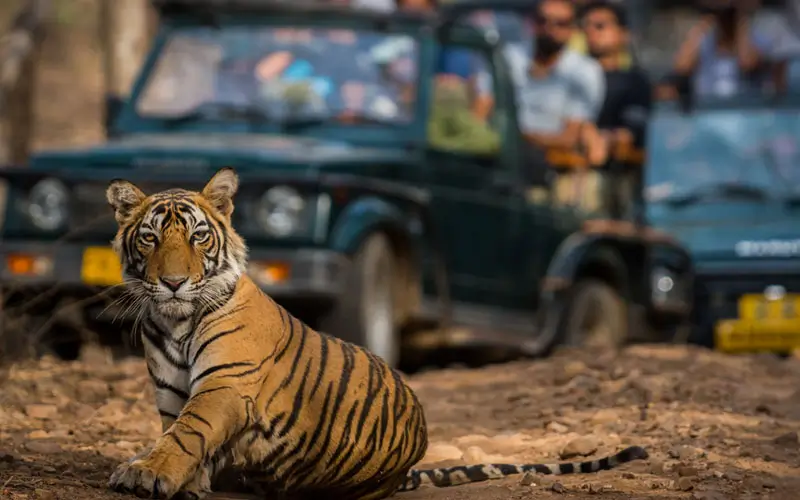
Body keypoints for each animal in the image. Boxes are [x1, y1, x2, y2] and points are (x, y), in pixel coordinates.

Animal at [105, 167, 649, 500]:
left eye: (199, 236)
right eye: (150, 238)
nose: (174, 282)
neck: (174, 321)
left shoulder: (225, 384)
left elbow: (186, 433)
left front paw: (146, 473)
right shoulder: (171, 391)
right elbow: (176, 433)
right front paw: (181, 480)